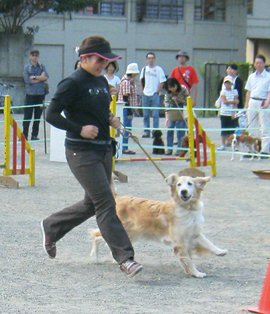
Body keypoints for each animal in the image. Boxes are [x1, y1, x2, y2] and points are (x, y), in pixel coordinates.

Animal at [89, 174, 227, 278]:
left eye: (190, 183)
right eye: (179, 185)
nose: (183, 191)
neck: (187, 208)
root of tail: (119, 197)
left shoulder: (193, 233)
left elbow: (208, 243)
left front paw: (220, 251)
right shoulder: (180, 242)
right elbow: (188, 260)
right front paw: (196, 273)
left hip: (130, 233)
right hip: (124, 229)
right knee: (96, 235)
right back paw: (95, 257)